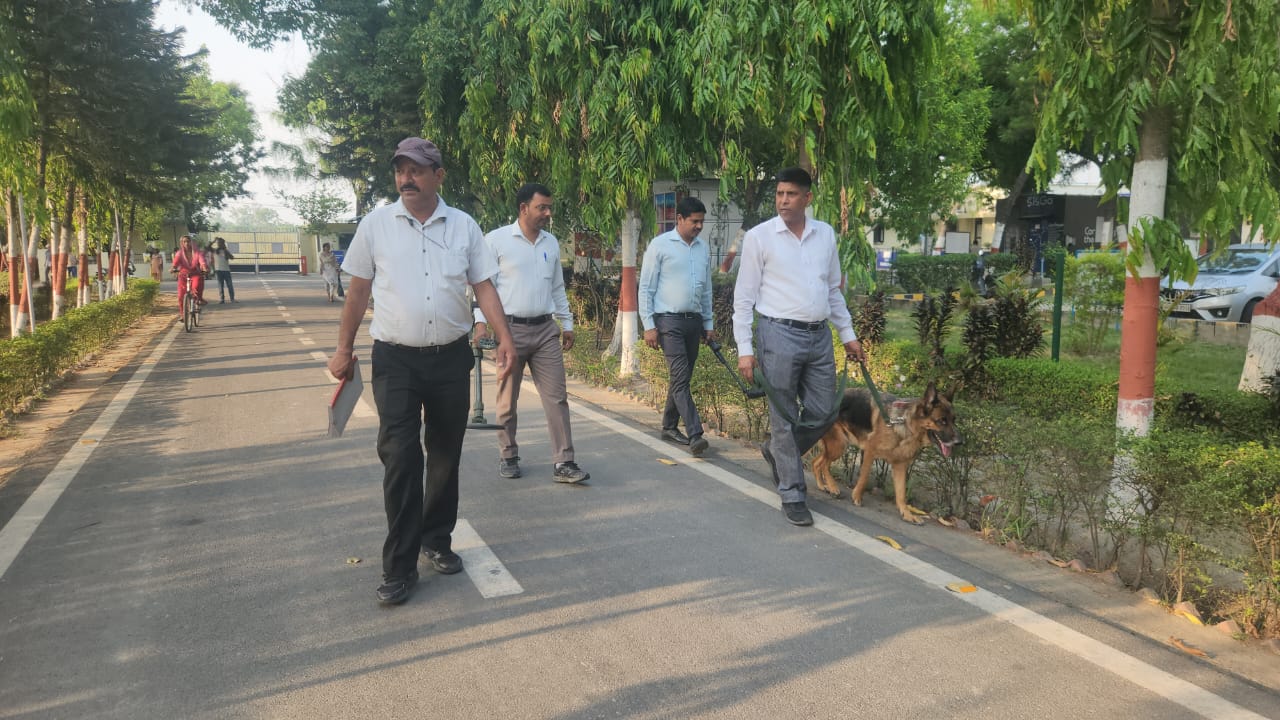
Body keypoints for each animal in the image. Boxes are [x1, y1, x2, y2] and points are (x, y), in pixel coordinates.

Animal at [814, 381, 957, 520]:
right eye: (942, 421)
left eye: (953, 420)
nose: (959, 442)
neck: (905, 423)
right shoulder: (870, 452)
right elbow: (864, 477)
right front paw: (857, 497)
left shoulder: (900, 466)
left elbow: (901, 492)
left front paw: (907, 514)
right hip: (839, 445)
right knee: (824, 465)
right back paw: (833, 487)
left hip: (835, 446)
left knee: (816, 462)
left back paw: (822, 485)